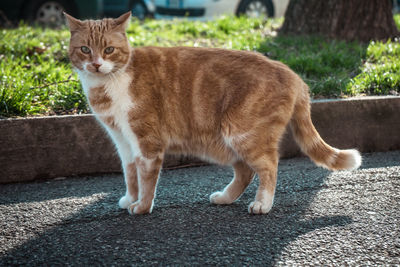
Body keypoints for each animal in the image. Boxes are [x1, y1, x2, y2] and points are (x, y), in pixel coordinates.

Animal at [64, 12, 360, 216]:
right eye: (85, 49)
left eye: (109, 50)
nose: (96, 64)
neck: (107, 85)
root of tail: (293, 74)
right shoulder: (123, 141)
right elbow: (129, 174)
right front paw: (130, 198)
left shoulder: (147, 141)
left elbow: (146, 178)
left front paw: (142, 206)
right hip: (226, 141)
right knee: (245, 171)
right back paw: (225, 198)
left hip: (241, 132)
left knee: (268, 166)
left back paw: (262, 204)